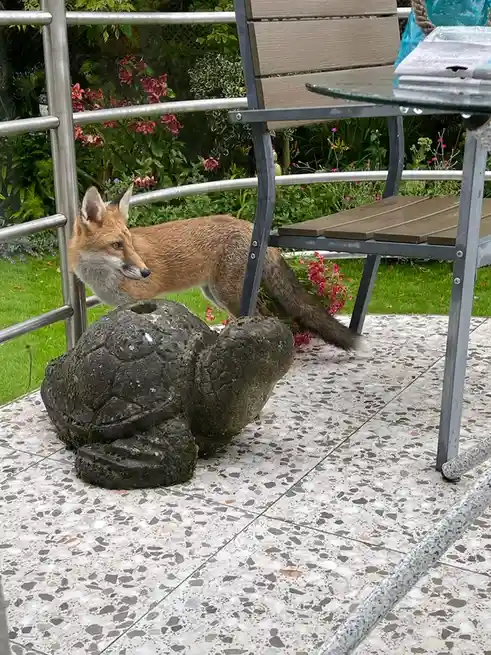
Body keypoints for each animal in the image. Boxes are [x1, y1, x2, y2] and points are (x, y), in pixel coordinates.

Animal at [68, 185, 358, 351]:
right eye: (117, 245)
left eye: (128, 243)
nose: (146, 272)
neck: (103, 278)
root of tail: (254, 229)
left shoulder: (141, 299)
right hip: (215, 294)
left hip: (229, 295)